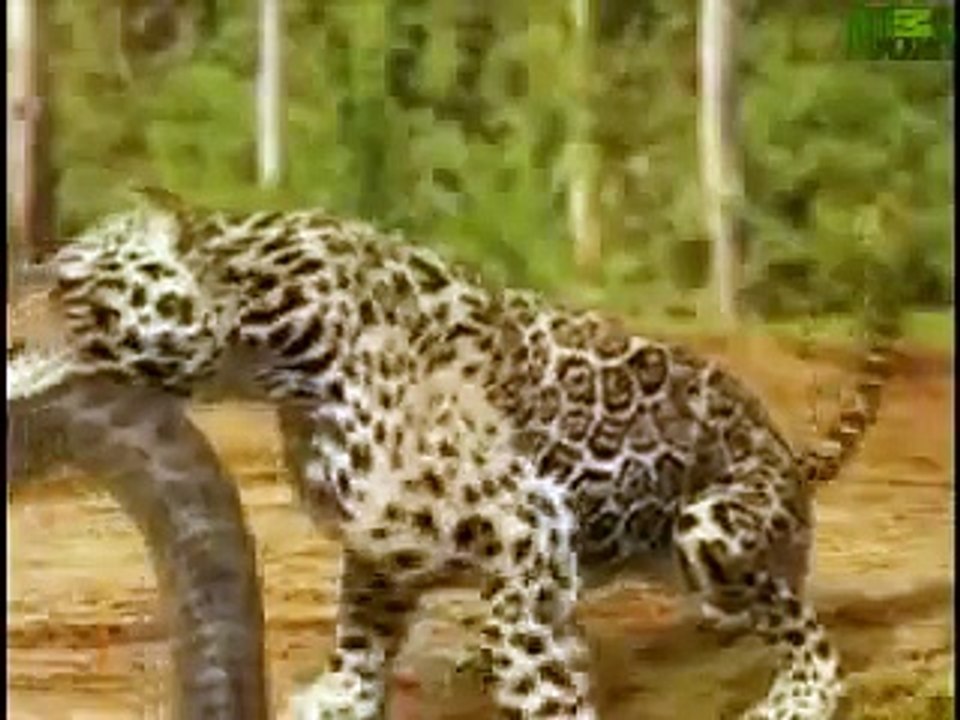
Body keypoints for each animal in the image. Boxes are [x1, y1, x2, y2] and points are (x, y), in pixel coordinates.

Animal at [35, 185, 898, 719]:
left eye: (67, 289)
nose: (13, 341)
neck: (277, 353)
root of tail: (782, 450)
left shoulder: (529, 525)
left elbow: (527, 648)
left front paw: (550, 696)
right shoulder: (383, 541)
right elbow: (362, 632)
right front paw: (342, 696)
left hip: (712, 523)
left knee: (808, 633)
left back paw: (796, 698)